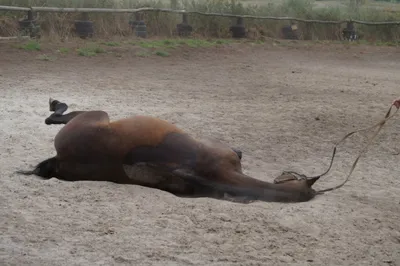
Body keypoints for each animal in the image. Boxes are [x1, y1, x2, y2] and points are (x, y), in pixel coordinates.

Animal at [17, 98, 320, 203]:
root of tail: (60, 159)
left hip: (92, 119)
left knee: (56, 118)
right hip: (97, 115)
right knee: (58, 115)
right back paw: (56, 104)